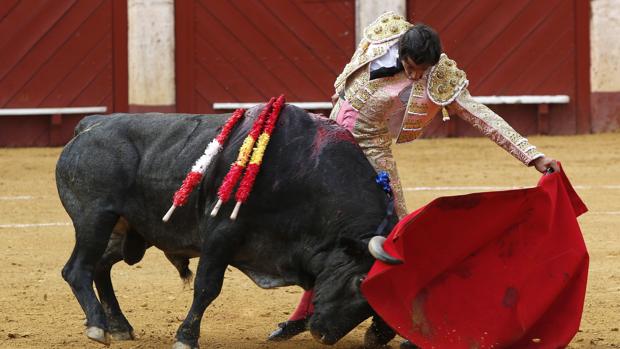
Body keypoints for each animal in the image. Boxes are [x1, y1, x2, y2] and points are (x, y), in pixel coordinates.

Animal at [57, 104, 398, 346]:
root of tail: (89, 126)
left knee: (100, 265)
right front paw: (186, 338)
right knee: (77, 269)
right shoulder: (221, 234)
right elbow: (207, 287)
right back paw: (98, 327)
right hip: (95, 218)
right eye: (359, 281)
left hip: (130, 232)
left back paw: (118, 326)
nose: (325, 335)